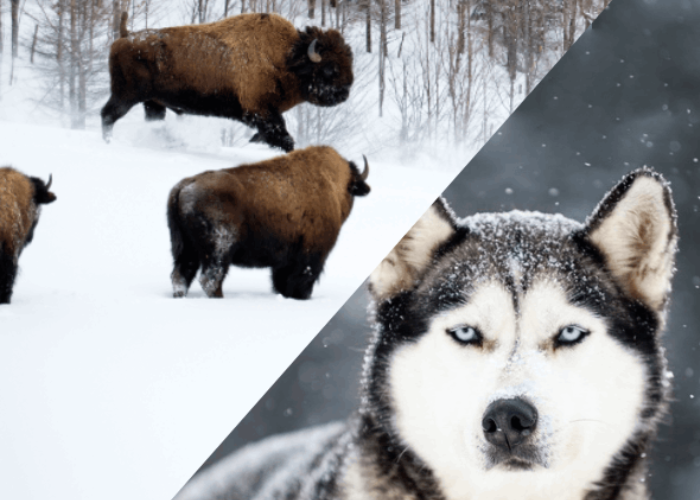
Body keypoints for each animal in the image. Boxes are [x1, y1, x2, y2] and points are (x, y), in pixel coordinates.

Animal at [102, 12, 354, 152]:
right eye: (330, 69)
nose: (344, 93)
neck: (286, 57)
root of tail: (126, 35)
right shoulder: (260, 111)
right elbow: (283, 138)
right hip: (126, 95)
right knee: (108, 115)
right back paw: (108, 143)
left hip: (153, 102)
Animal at [167, 146, 370, 299]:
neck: (332, 184)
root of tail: (185, 185)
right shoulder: (311, 254)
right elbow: (303, 278)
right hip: (219, 250)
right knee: (210, 279)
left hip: (185, 249)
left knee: (181, 275)